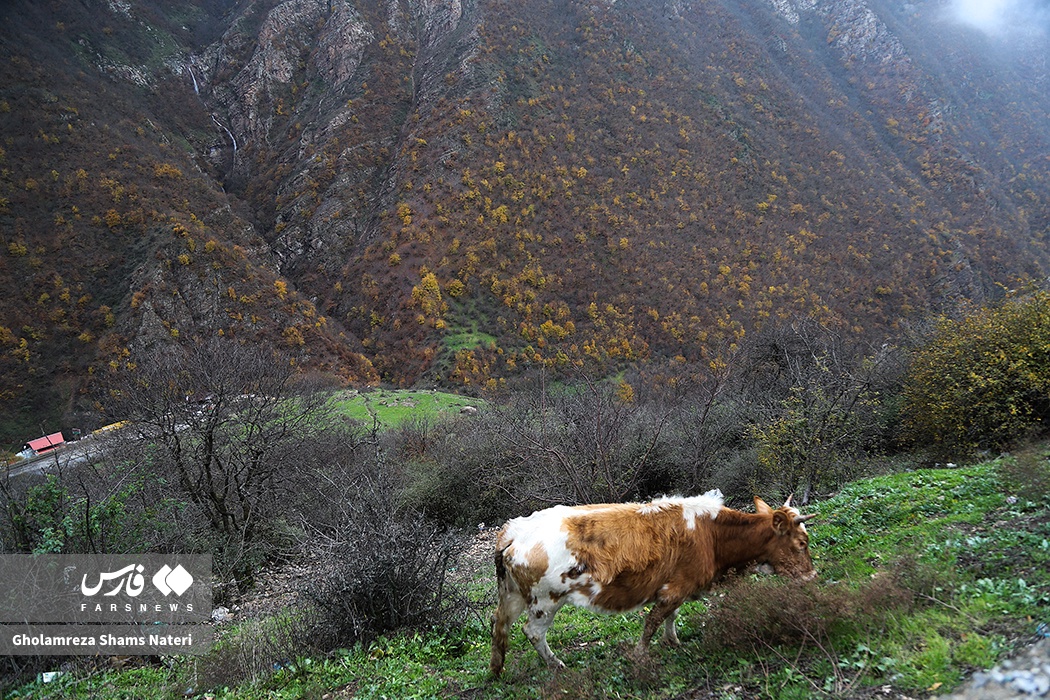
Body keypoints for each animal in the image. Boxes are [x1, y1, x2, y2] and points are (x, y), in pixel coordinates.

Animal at [487, 491, 814, 675]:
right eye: (801, 543)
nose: (812, 576)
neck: (711, 534)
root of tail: (514, 529)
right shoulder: (676, 587)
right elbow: (653, 621)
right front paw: (641, 655)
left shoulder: (677, 586)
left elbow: (671, 616)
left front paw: (673, 641)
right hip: (546, 600)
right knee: (533, 632)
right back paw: (556, 665)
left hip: (514, 596)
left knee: (499, 624)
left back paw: (498, 669)